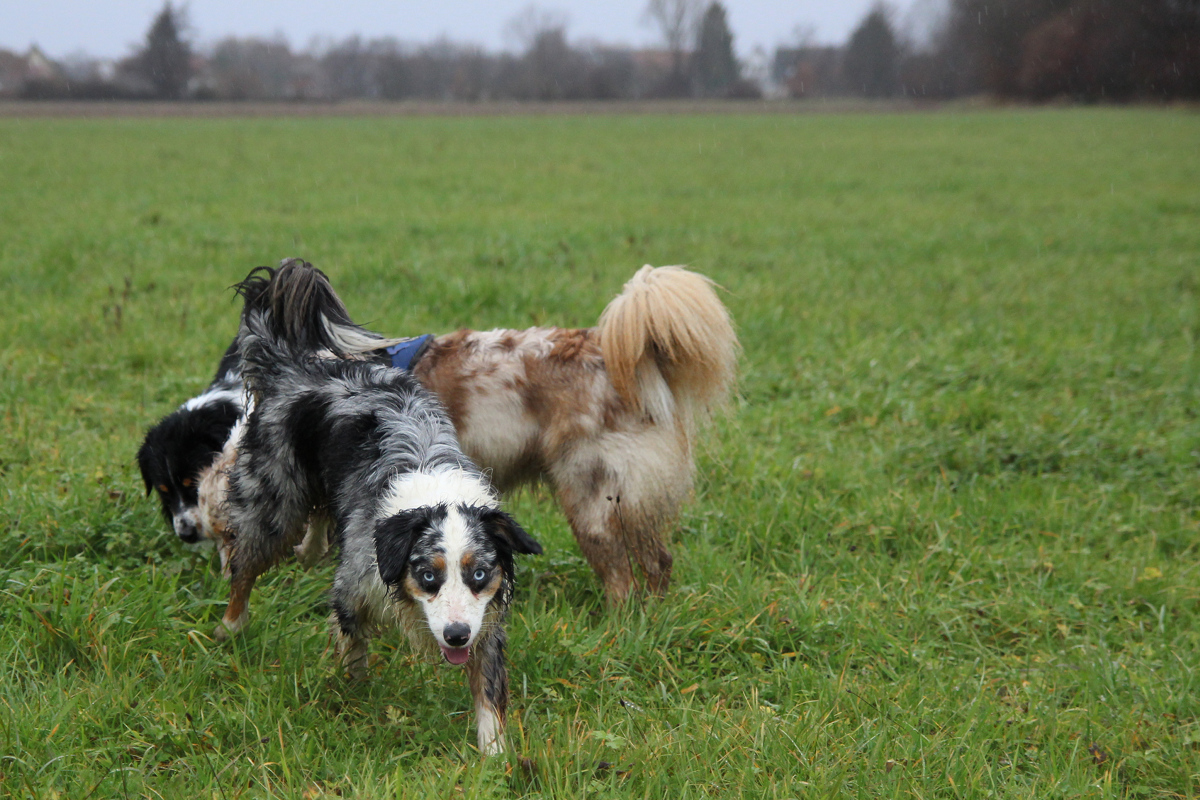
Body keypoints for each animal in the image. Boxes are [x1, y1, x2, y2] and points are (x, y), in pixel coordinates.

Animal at [220, 262, 544, 758]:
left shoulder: (485, 619)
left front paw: (494, 755)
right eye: (427, 576)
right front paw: (353, 696)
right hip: (273, 502)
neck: (433, 483)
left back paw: (309, 549)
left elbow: (489, 688)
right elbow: (352, 650)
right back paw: (232, 627)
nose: (455, 636)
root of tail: (294, 366)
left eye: (479, 574)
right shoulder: (354, 585)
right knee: (245, 564)